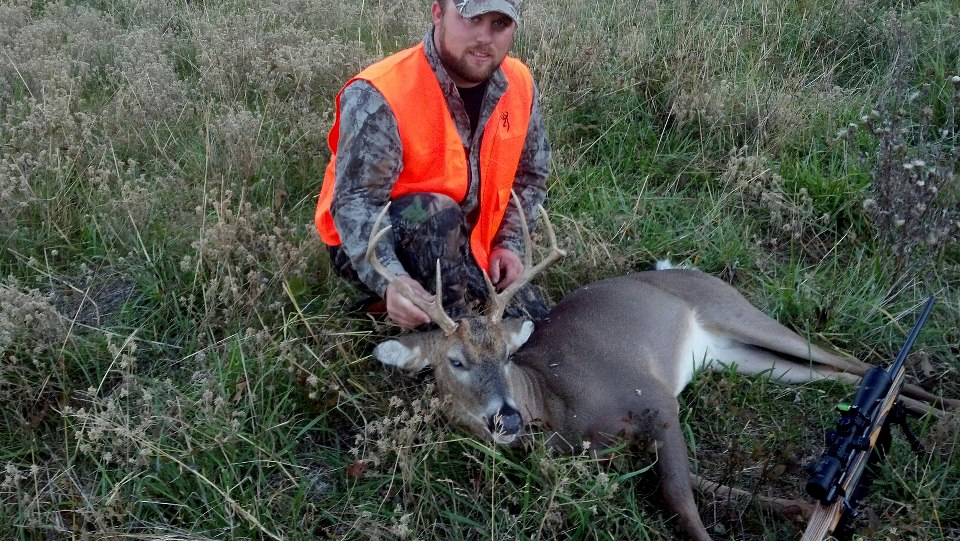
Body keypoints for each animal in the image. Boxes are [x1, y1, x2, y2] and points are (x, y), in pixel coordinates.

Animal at [364, 195, 957, 541]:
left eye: (506, 357)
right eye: (456, 361)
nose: (507, 419)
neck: (557, 406)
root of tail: (685, 269)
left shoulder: (652, 397)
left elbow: (681, 499)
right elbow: (704, 486)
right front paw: (792, 508)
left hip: (736, 314)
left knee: (852, 358)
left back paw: (938, 409)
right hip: (737, 358)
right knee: (839, 376)